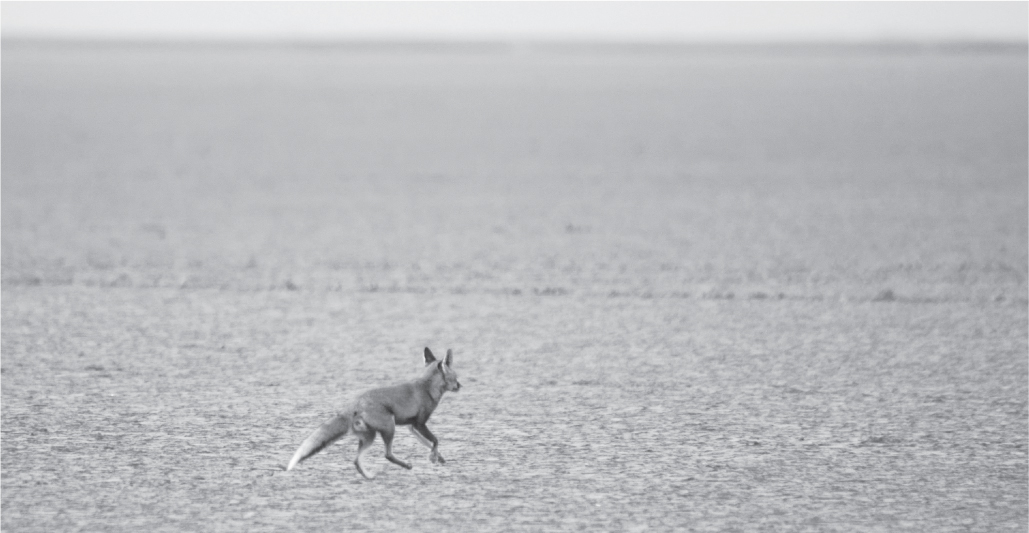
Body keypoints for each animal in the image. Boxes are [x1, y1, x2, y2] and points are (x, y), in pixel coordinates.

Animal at [286, 347, 461, 479]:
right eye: (456, 377)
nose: (460, 386)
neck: (426, 387)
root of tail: (355, 402)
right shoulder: (420, 424)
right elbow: (435, 441)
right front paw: (433, 458)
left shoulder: (412, 427)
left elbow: (429, 443)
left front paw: (439, 458)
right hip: (389, 427)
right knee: (387, 455)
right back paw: (406, 466)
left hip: (369, 437)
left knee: (356, 461)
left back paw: (368, 477)